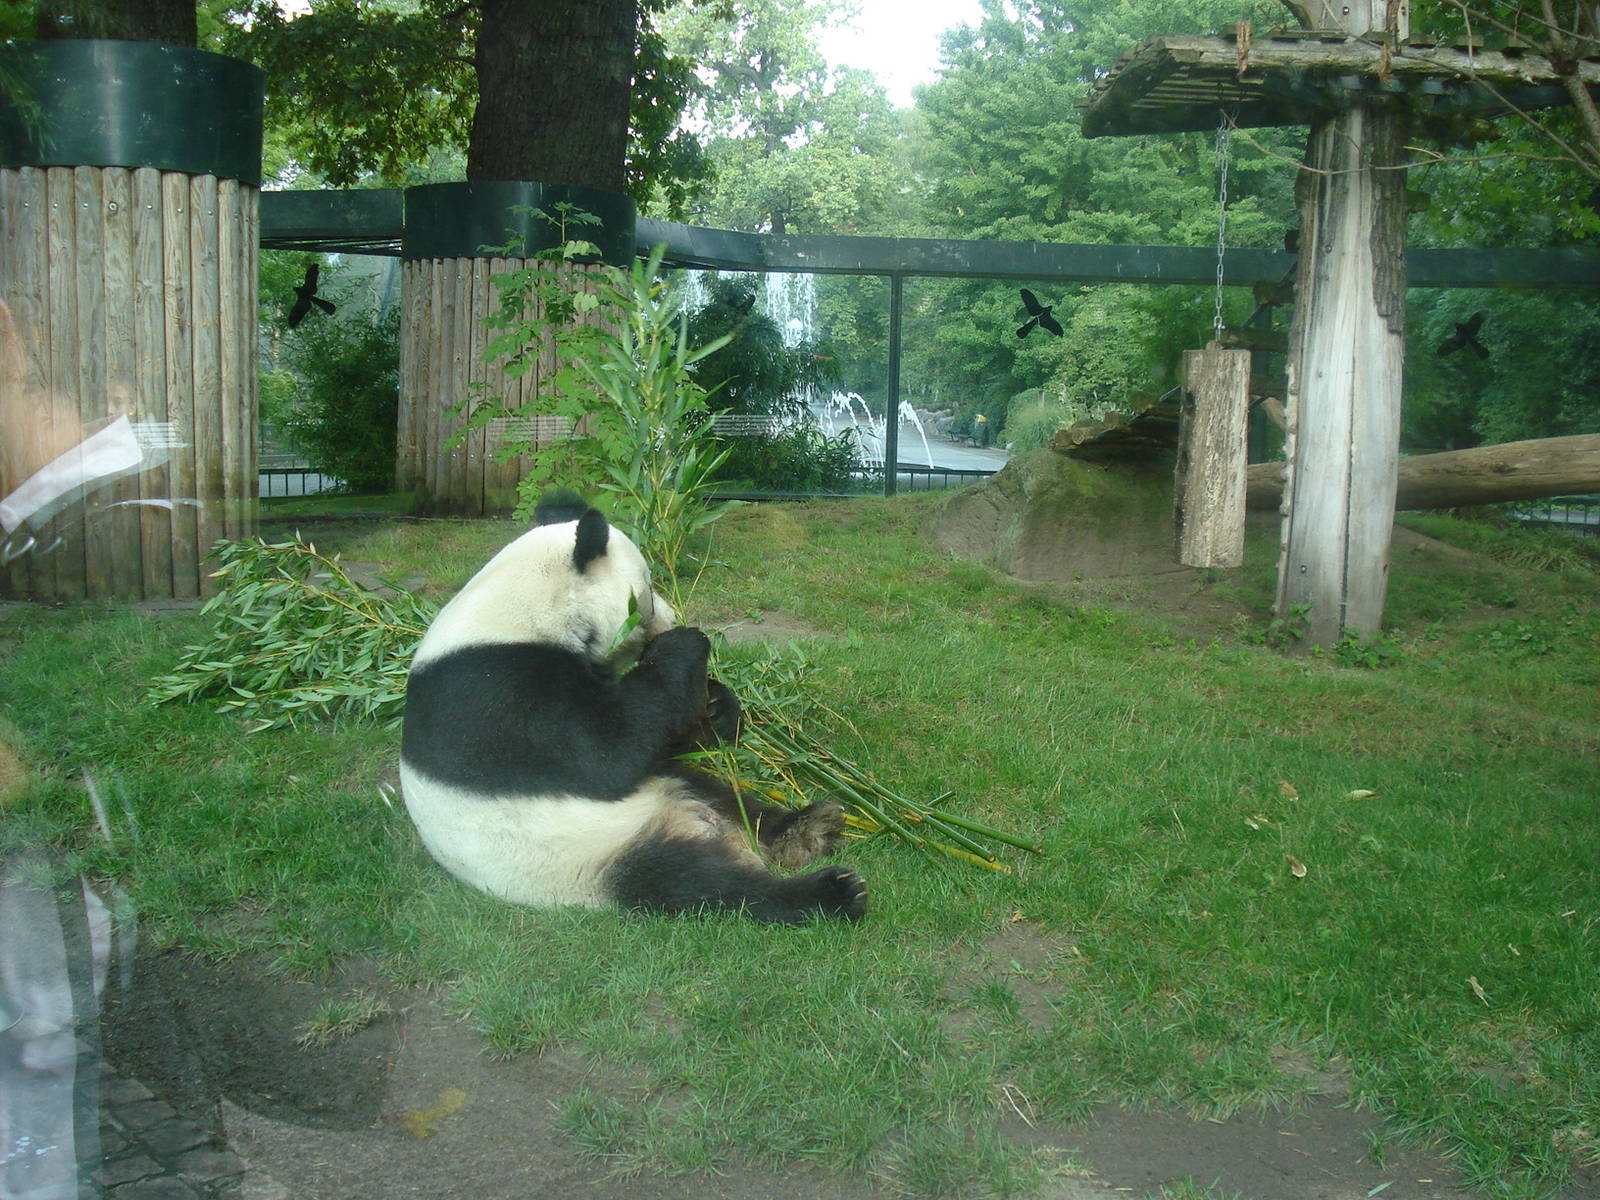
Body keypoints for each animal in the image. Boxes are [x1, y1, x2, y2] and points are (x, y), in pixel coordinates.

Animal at [398, 492, 867, 924]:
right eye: (648, 590)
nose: (672, 615)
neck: (516, 612)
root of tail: (695, 825)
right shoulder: (494, 692)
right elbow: (606, 752)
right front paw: (683, 644)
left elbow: (654, 737)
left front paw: (716, 705)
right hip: (591, 858)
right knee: (701, 885)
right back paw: (829, 893)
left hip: (671, 785)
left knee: (729, 800)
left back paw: (806, 829)